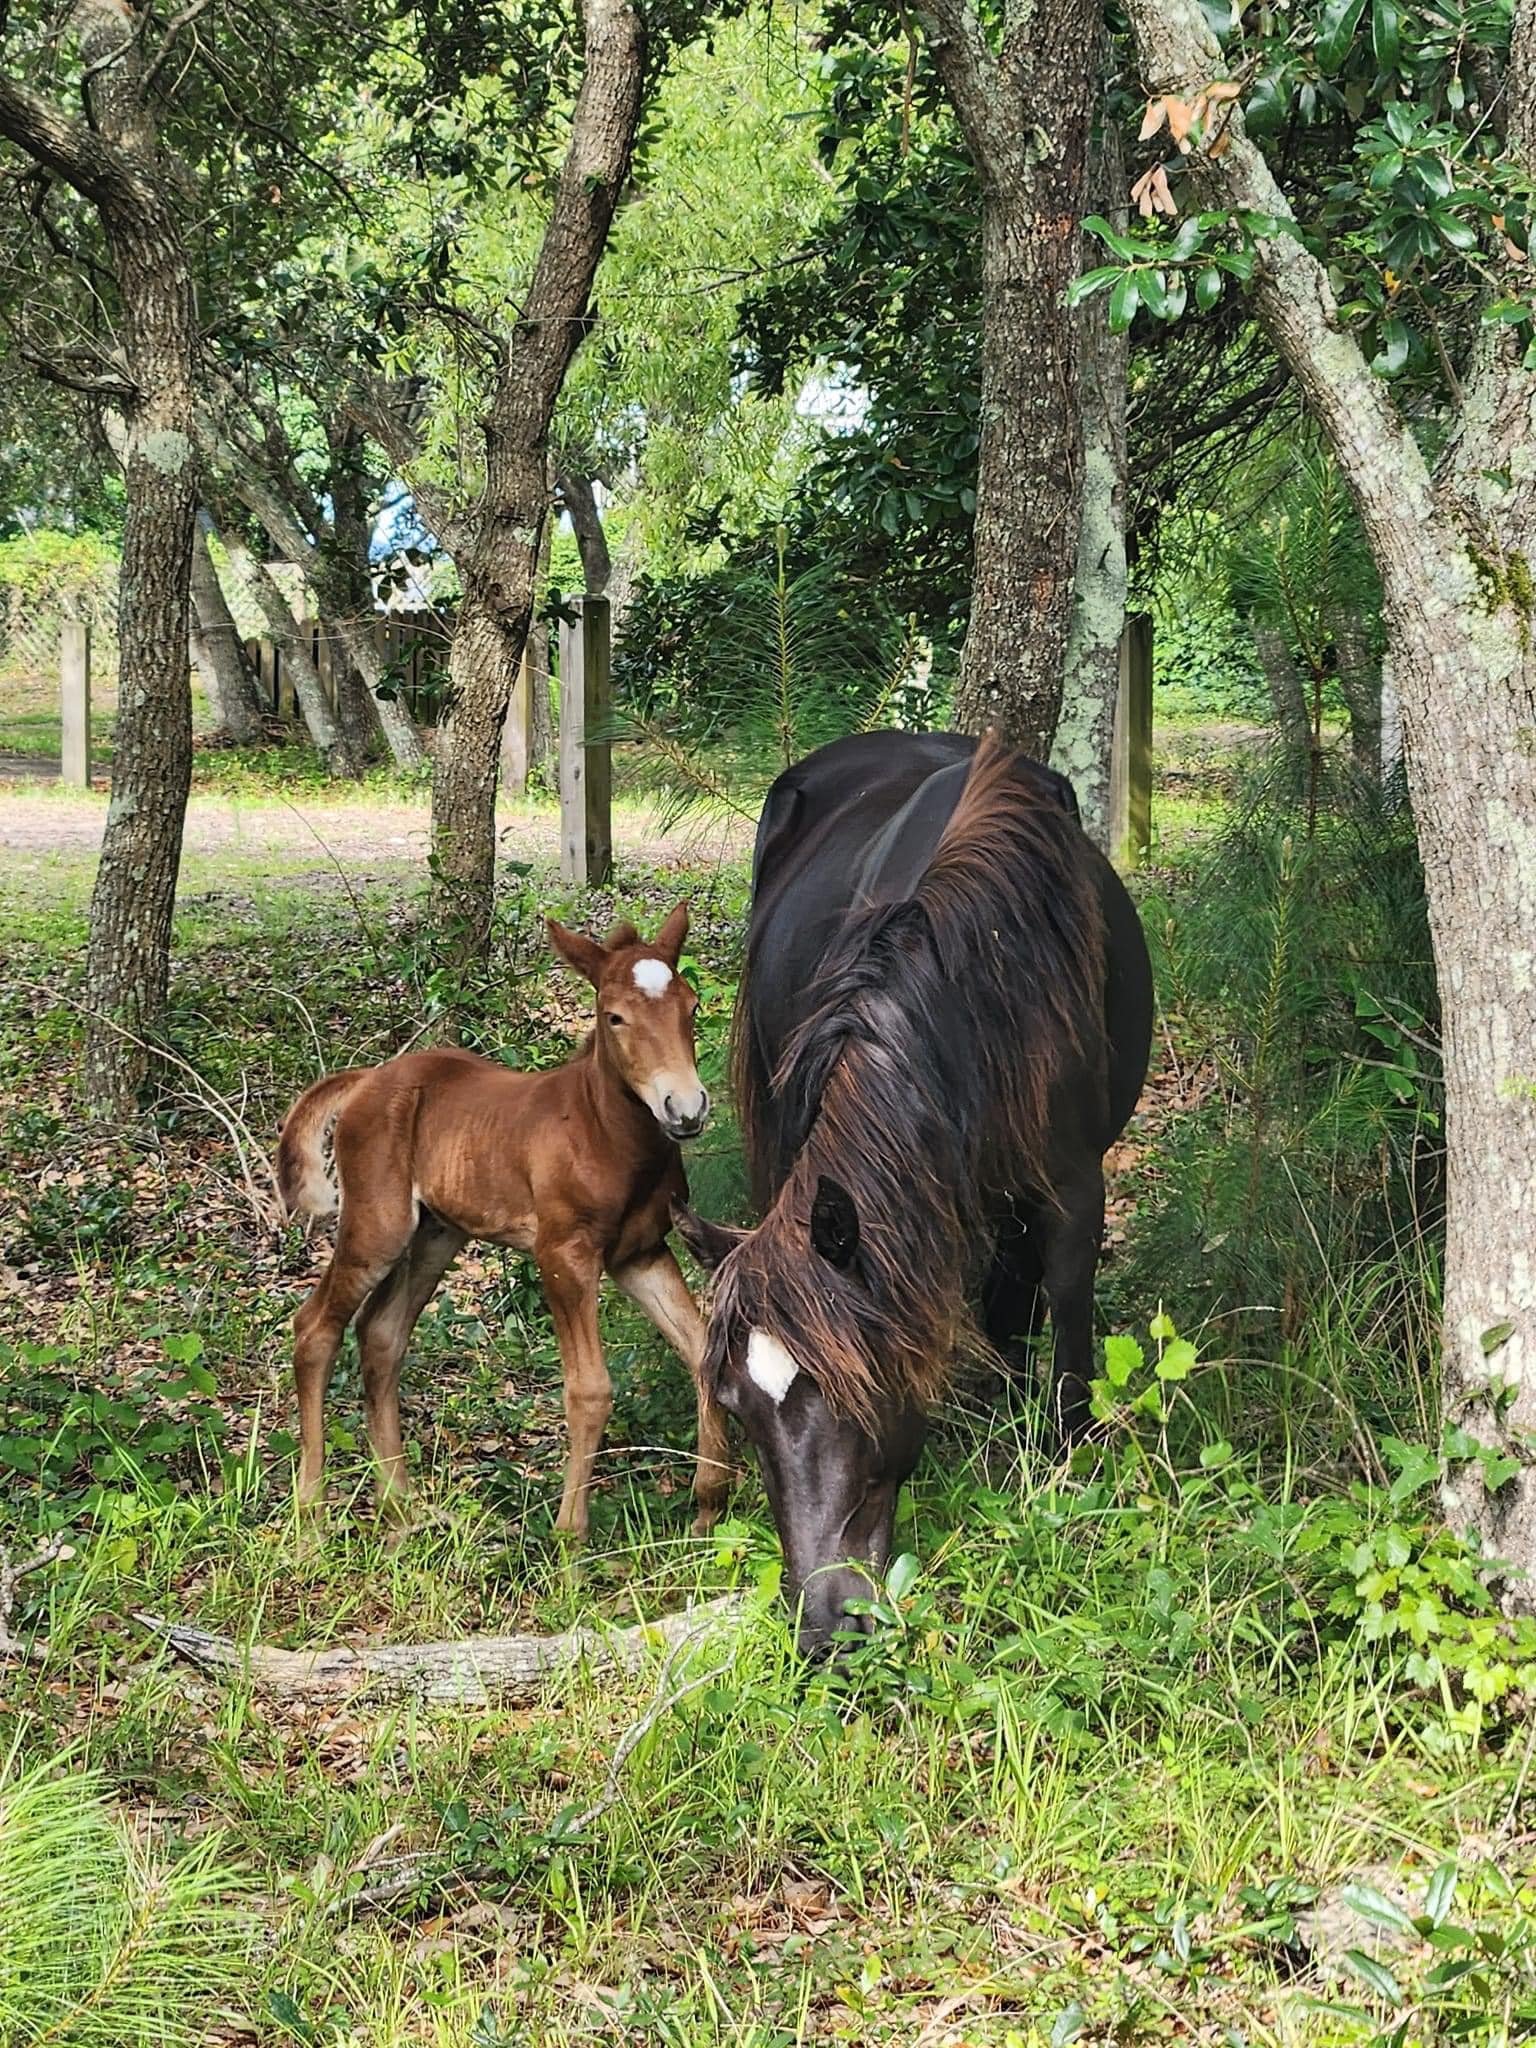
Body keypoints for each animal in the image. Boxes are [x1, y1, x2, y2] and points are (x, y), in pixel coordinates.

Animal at [276, 909, 733, 1540]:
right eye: (614, 1017)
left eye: (690, 1006)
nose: (685, 1110)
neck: (607, 1135)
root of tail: (367, 1078)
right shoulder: (562, 1254)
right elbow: (590, 1389)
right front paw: (568, 1541)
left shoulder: (640, 1253)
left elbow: (702, 1351)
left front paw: (709, 1508)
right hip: (378, 1227)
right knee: (315, 1328)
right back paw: (311, 1519)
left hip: (436, 1234)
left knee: (382, 1334)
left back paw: (404, 1509)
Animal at [679, 729, 1146, 1654]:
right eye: (737, 1410)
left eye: (866, 1388)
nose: (827, 1625)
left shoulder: (1072, 1186)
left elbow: (1064, 1301)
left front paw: (1064, 1456)